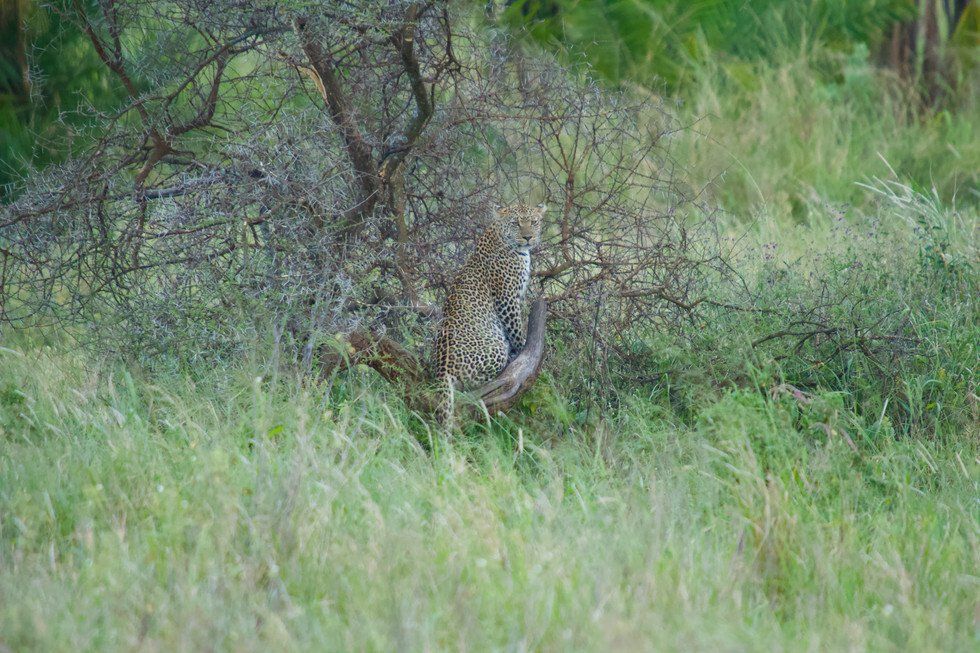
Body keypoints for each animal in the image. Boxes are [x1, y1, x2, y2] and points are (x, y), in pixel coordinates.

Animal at [434, 202, 546, 426]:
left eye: (534, 222)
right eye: (516, 223)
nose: (528, 237)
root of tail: (442, 369)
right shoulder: (507, 298)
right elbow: (516, 330)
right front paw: (521, 350)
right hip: (495, 346)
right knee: (473, 385)